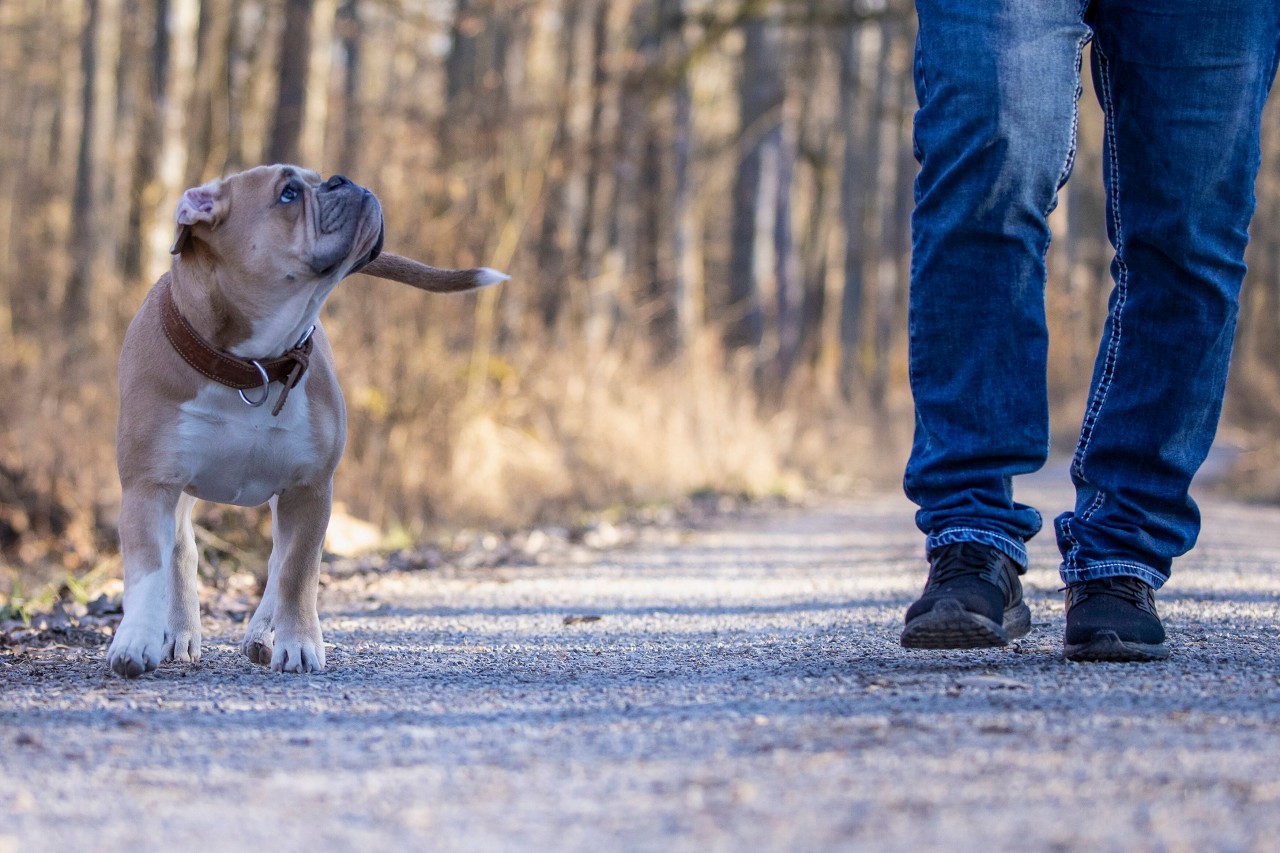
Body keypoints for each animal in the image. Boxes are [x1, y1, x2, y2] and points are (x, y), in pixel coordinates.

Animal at [106, 162, 504, 676]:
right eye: (289, 193)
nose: (343, 181)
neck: (251, 364)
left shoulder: (309, 488)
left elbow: (297, 571)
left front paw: (296, 644)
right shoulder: (149, 484)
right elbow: (148, 568)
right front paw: (135, 639)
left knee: (278, 564)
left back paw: (263, 634)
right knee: (183, 549)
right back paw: (181, 632)